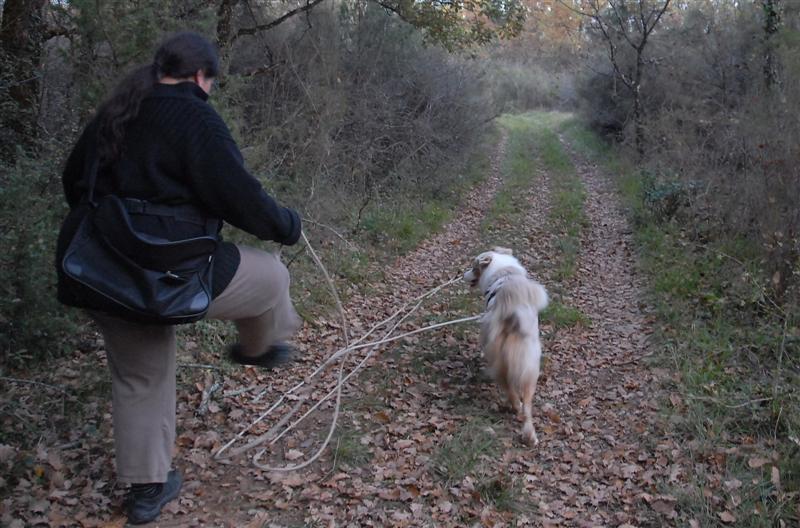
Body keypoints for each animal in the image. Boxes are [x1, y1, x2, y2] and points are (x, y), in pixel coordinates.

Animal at [464, 247, 548, 445]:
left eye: (473, 267)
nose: (463, 274)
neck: (503, 271)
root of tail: (514, 316)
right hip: (531, 366)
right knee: (527, 405)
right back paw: (530, 436)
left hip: (499, 360)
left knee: (509, 388)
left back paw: (514, 406)